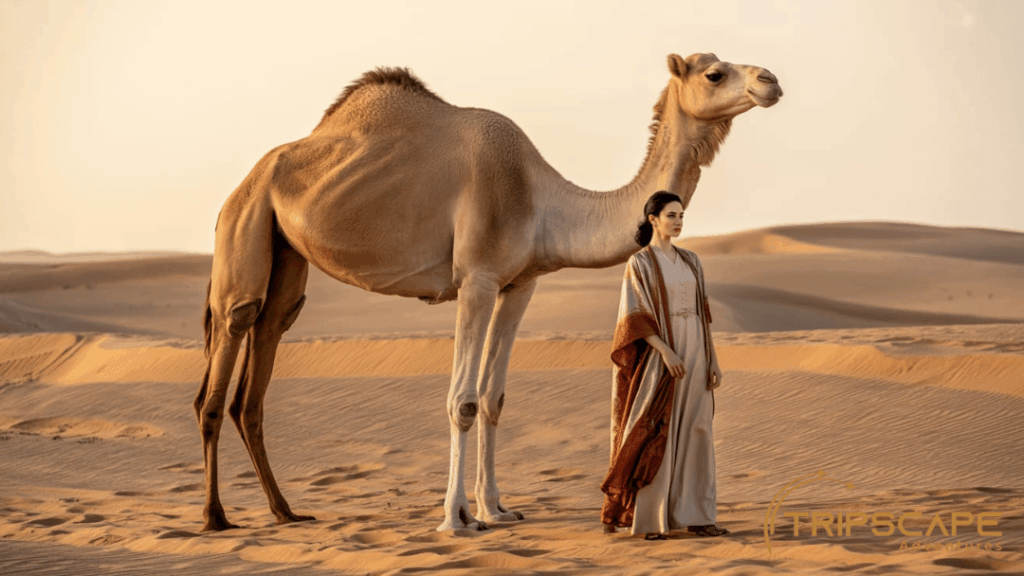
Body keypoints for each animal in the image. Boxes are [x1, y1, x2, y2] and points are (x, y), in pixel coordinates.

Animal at [194, 52, 782, 532]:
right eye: (714, 72)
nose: (770, 80)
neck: (541, 199)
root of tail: (242, 185)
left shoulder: (519, 284)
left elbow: (494, 398)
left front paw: (496, 508)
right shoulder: (475, 279)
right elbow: (463, 400)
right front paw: (456, 518)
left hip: (286, 251)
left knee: (267, 344)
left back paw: (284, 511)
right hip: (245, 224)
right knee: (230, 341)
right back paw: (216, 517)